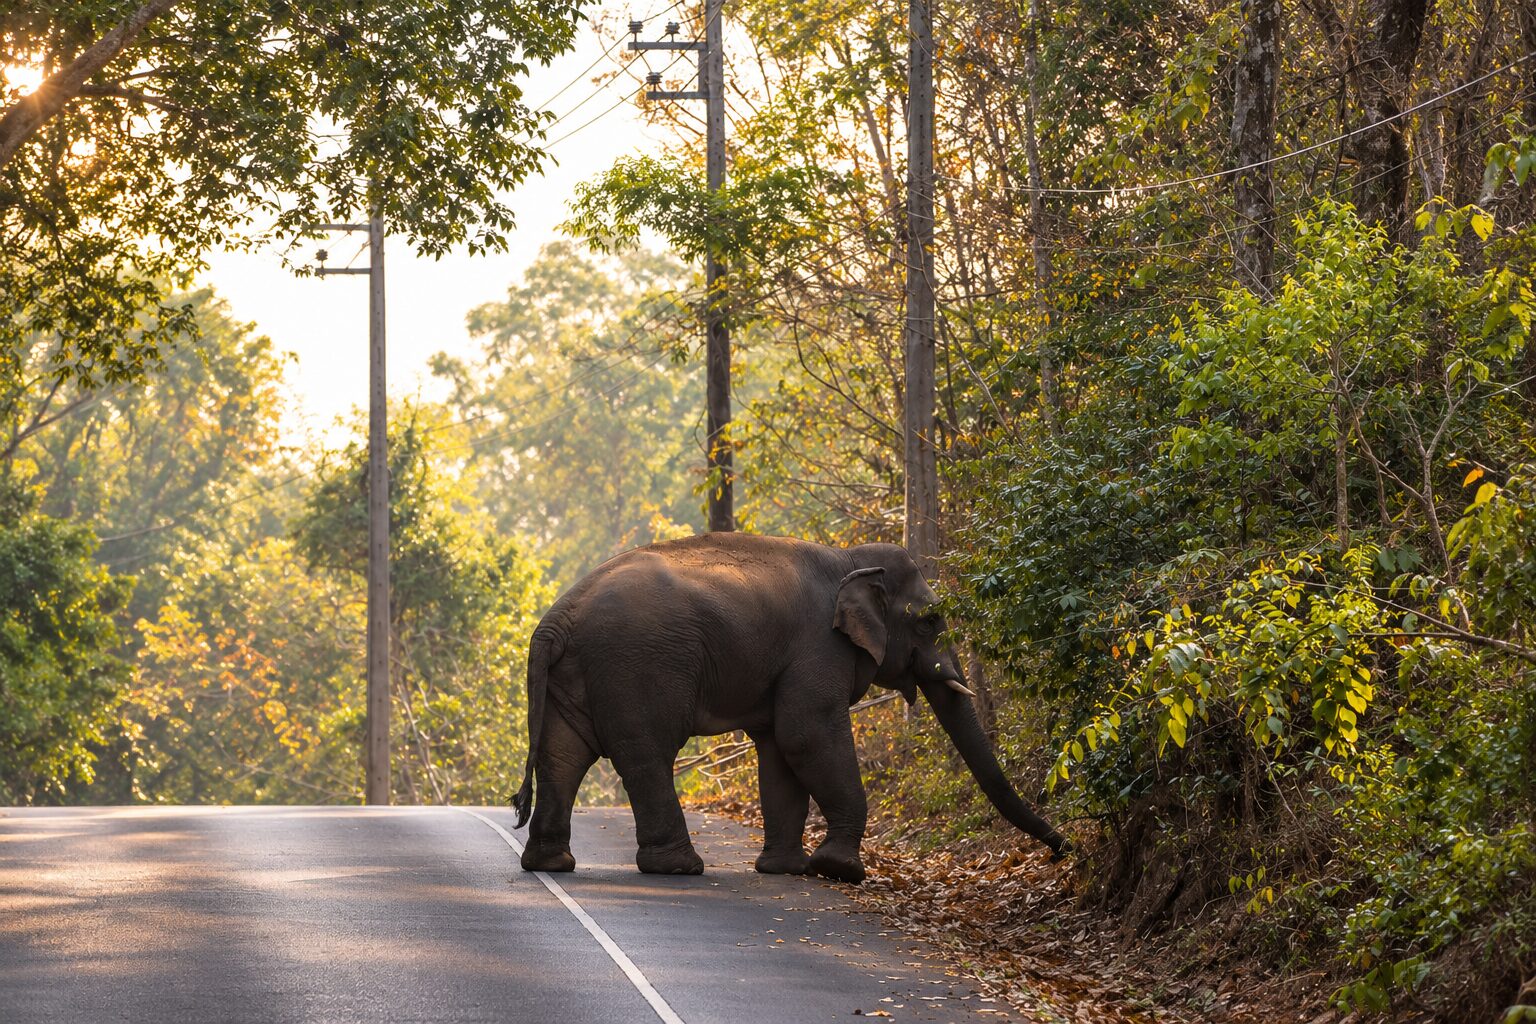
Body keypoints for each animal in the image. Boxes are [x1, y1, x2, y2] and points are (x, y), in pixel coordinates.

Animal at [510, 532, 1068, 883]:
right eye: (930, 621)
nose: (1063, 852)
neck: (851, 560)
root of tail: (555, 618)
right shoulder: (819, 647)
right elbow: (807, 735)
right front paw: (842, 870)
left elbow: (780, 748)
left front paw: (784, 870)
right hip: (637, 669)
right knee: (646, 755)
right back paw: (681, 868)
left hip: (577, 677)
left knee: (564, 756)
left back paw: (552, 864)